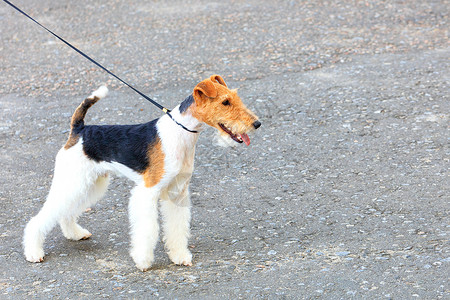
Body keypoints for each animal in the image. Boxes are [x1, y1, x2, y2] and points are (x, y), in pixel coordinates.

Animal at [23, 75, 260, 272]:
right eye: (225, 102)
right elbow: (148, 229)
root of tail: (79, 130)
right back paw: (34, 252)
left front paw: (180, 256)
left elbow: (177, 227)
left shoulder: (178, 191)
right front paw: (143, 261)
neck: (181, 132)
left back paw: (75, 233)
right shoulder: (148, 191)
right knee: (41, 217)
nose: (256, 123)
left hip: (90, 183)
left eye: (235, 97)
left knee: (65, 212)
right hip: (74, 180)